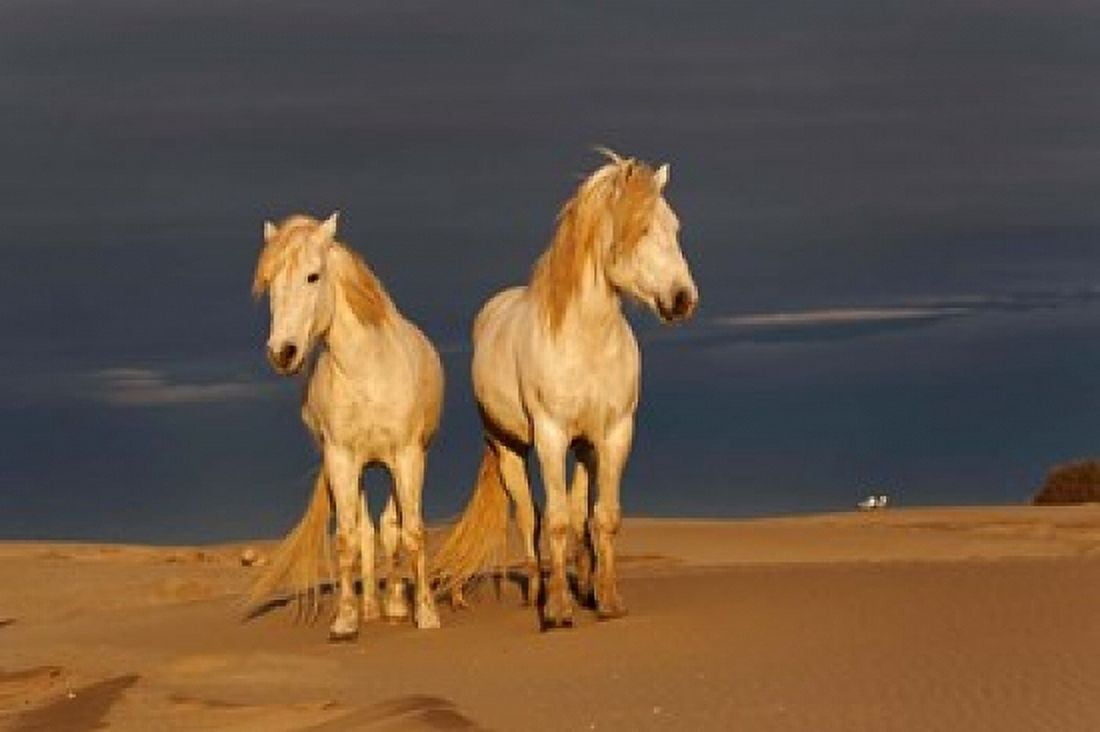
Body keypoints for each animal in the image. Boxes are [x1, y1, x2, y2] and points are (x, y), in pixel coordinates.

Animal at [249, 212, 444, 641]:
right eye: (270, 282)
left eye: (313, 276)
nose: (282, 353)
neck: (367, 371)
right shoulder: (341, 460)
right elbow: (348, 539)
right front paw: (346, 619)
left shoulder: (407, 457)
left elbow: (411, 532)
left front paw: (425, 613)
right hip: (361, 469)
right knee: (369, 531)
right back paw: (372, 607)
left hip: (395, 465)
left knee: (391, 527)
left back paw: (395, 604)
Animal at [432, 151, 698, 627]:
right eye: (641, 228)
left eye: (674, 226)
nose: (683, 298)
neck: (587, 339)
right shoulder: (551, 436)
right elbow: (553, 520)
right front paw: (557, 610)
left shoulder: (614, 434)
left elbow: (602, 518)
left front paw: (607, 600)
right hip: (510, 450)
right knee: (530, 518)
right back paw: (539, 593)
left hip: (585, 448)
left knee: (578, 516)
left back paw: (586, 586)